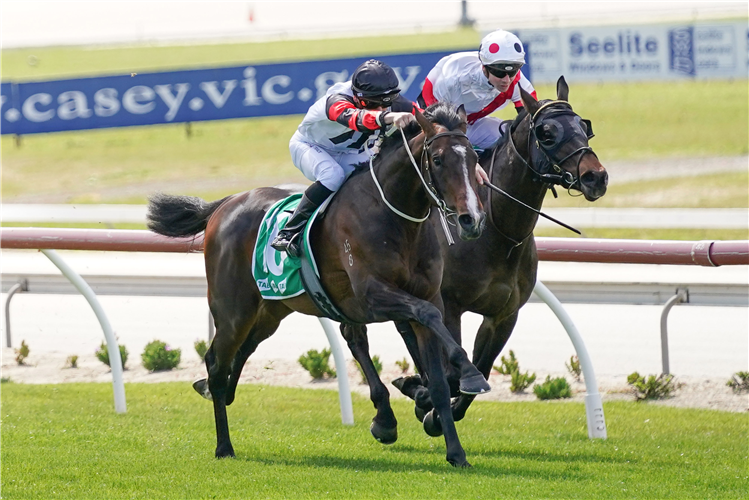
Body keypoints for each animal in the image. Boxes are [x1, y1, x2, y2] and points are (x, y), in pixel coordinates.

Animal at [149, 103, 490, 466]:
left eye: (474, 157)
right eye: (437, 159)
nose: (471, 219)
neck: (394, 216)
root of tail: (224, 205)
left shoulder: (425, 296)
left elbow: (437, 374)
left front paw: (455, 450)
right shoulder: (372, 296)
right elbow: (426, 314)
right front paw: (471, 375)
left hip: (271, 310)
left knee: (242, 351)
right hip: (233, 310)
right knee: (216, 362)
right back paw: (223, 445)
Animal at [344, 76, 608, 436]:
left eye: (584, 126)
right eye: (547, 133)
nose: (596, 176)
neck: (497, 233)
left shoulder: (504, 315)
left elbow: (478, 371)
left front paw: (434, 409)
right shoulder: (448, 305)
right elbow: (453, 372)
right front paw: (426, 402)